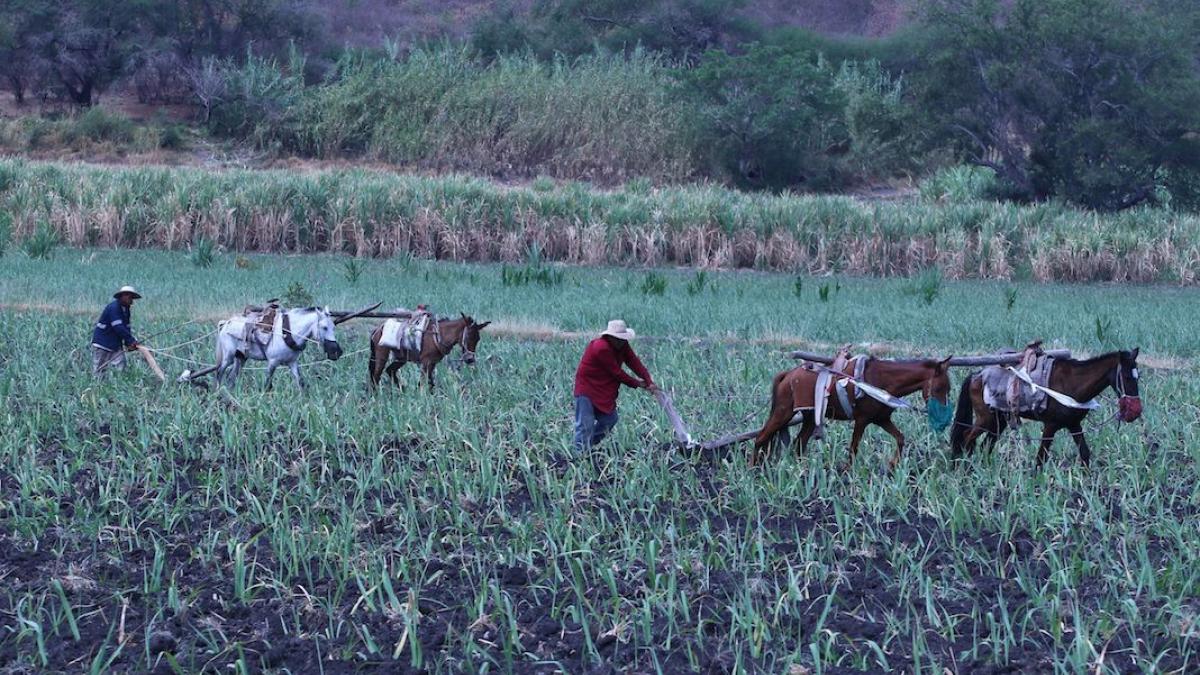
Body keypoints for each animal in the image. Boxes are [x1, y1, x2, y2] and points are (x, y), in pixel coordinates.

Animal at [753, 355, 950, 470]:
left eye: (948, 389)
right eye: (939, 388)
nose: (944, 421)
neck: (881, 382)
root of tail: (788, 375)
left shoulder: (881, 419)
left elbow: (901, 439)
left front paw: (892, 465)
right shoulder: (862, 420)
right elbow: (853, 449)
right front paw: (848, 473)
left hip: (809, 418)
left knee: (799, 444)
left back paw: (803, 472)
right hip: (783, 413)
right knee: (761, 438)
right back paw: (753, 470)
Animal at [950, 348, 1137, 466]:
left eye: (1138, 376)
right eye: (1127, 377)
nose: (1135, 411)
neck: (1072, 384)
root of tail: (977, 375)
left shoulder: (1074, 425)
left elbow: (1085, 453)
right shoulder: (1050, 426)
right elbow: (1041, 458)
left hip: (998, 420)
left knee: (985, 445)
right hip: (985, 419)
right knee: (967, 438)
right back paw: (963, 468)